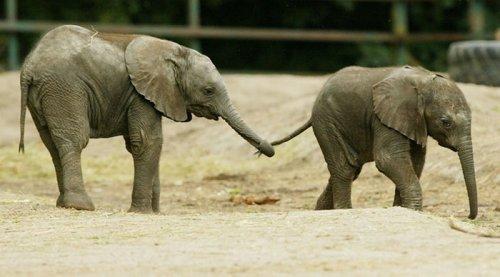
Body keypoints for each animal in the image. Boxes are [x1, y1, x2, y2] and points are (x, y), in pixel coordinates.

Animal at [19, 25, 276, 211]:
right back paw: (81, 206)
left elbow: (154, 144)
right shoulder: (140, 94)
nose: (266, 149)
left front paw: (155, 212)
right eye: (208, 91)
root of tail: (29, 67)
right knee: (74, 140)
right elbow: (147, 142)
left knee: (52, 144)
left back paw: (64, 204)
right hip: (65, 88)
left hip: (45, 94)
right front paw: (141, 212)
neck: (174, 51)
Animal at [272, 65, 478, 218]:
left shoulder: (414, 122)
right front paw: (412, 210)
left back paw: (321, 212)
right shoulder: (385, 115)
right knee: (344, 169)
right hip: (327, 122)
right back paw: (344, 211)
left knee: (349, 169)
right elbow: (388, 159)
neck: (424, 80)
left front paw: (402, 210)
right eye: (446, 122)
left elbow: (415, 162)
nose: (468, 216)